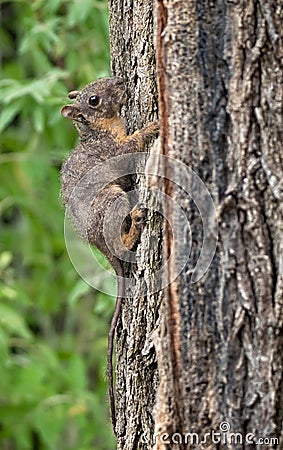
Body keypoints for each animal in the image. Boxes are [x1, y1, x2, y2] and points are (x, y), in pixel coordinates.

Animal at [60, 76, 160, 432]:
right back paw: (135, 228)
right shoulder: (112, 153)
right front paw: (151, 126)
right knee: (121, 241)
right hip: (111, 201)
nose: (120, 80)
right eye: (93, 99)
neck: (102, 130)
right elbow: (129, 147)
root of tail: (99, 244)